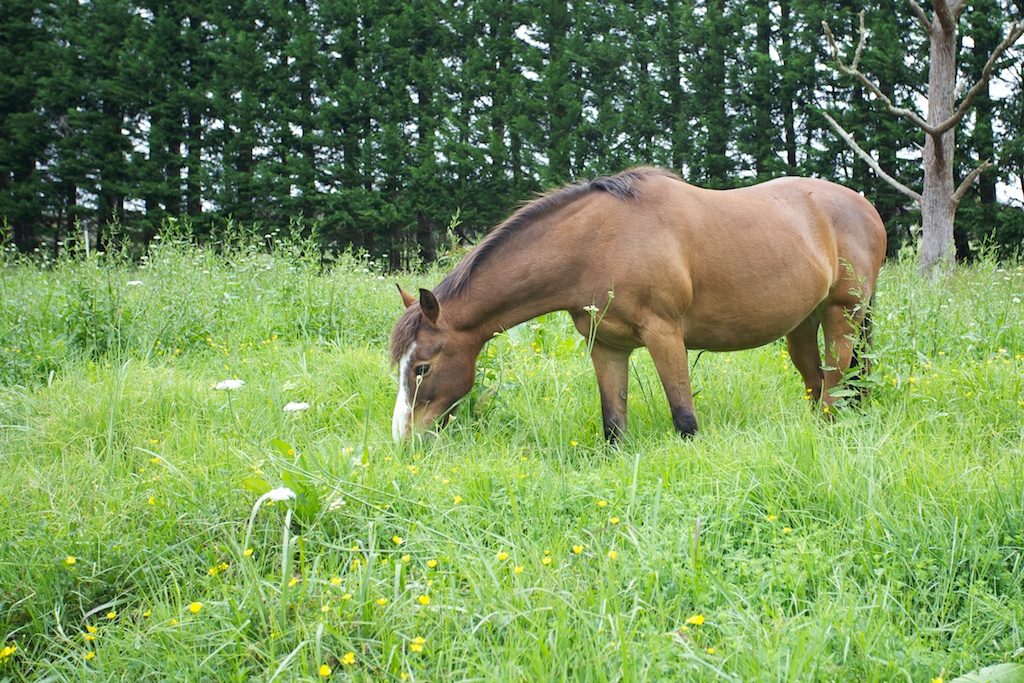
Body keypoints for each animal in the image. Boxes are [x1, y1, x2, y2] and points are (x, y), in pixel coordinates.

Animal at [387, 167, 884, 440]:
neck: (597, 243)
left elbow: (685, 420)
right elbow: (613, 426)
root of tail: (864, 206)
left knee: (836, 384)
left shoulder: (665, 335)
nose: (404, 440)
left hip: (843, 315)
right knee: (819, 383)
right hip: (801, 325)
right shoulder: (607, 347)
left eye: (423, 367)